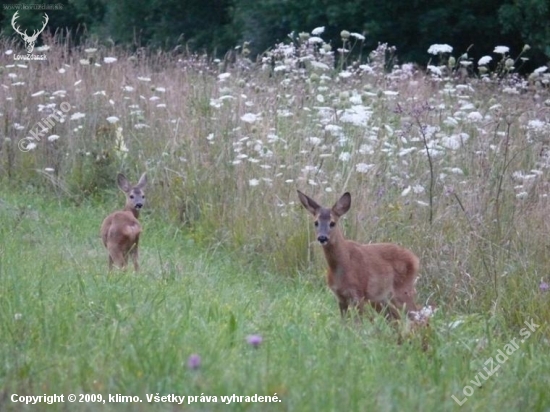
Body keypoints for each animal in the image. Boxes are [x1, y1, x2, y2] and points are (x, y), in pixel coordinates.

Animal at [300, 192, 420, 320]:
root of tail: (415, 259)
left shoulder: (358, 293)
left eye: (332, 223)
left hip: (402, 290)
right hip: (382, 299)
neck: (342, 265)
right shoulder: (340, 297)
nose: (322, 238)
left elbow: (358, 322)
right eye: (316, 222)